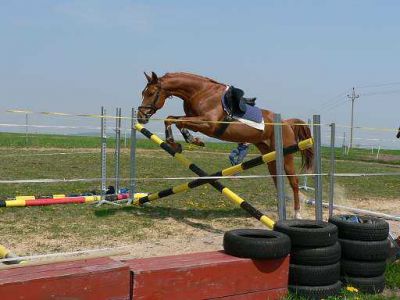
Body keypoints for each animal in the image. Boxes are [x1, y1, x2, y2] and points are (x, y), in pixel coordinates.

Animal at [138, 72, 312, 218]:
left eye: (151, 93)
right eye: (143, 93)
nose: (141, 117)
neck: (200, 92)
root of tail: (286, 122)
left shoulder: (208, 124)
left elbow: (178, 121)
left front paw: (190, 140)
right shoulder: (194, 119)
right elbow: (172, 119)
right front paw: (180, 143)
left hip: (286, 155)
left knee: (294, 182)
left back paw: (297, 213)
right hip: (270, 156)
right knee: (277, 180)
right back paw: (280, 209)